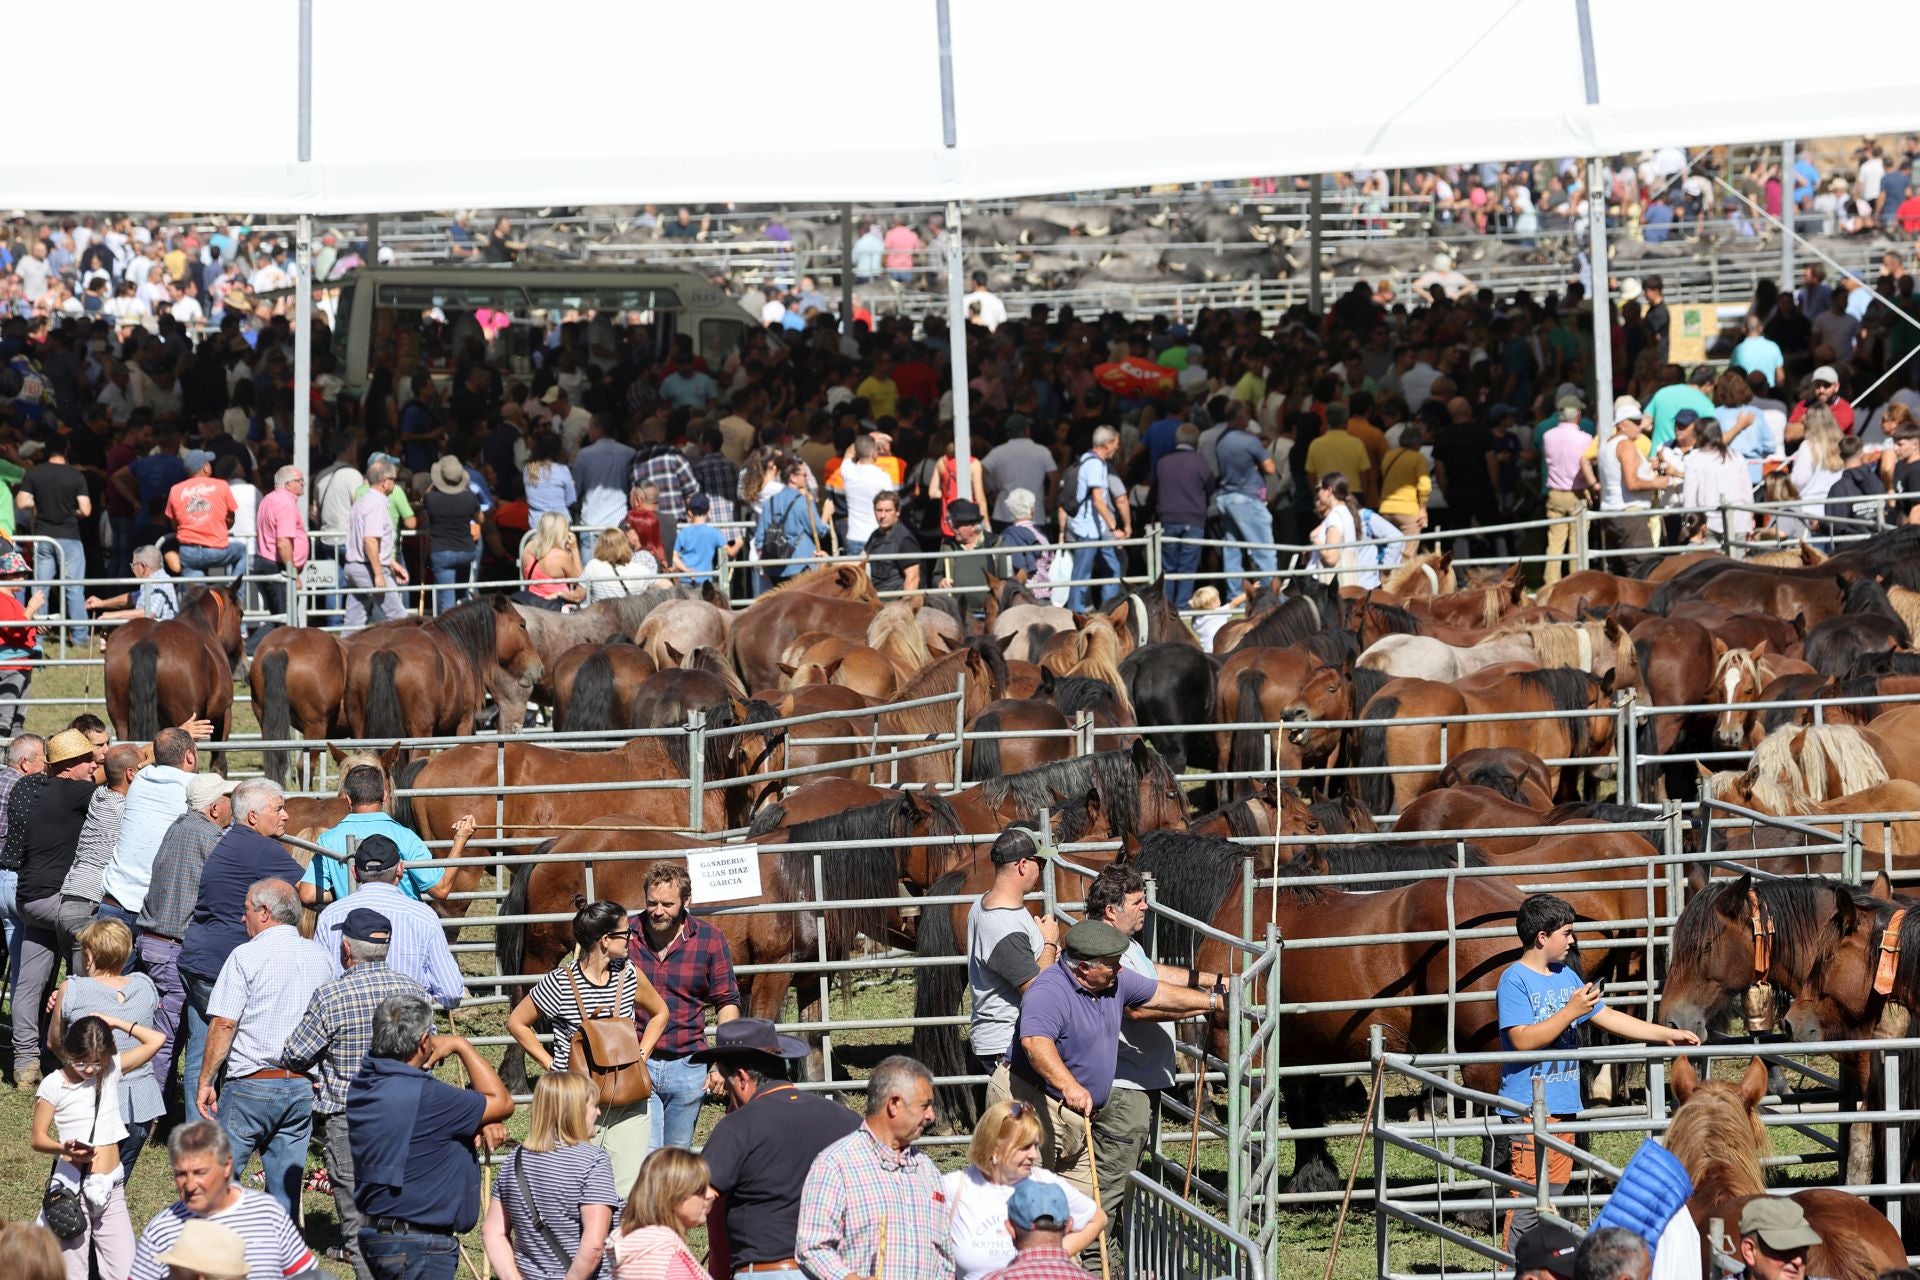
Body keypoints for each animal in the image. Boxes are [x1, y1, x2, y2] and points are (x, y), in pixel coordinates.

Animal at [341, 594, 541, 744]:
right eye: (522, 624)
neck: (456, 644)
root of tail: (386, 651)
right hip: (420, 733)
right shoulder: (462, 724)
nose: (539, 667)